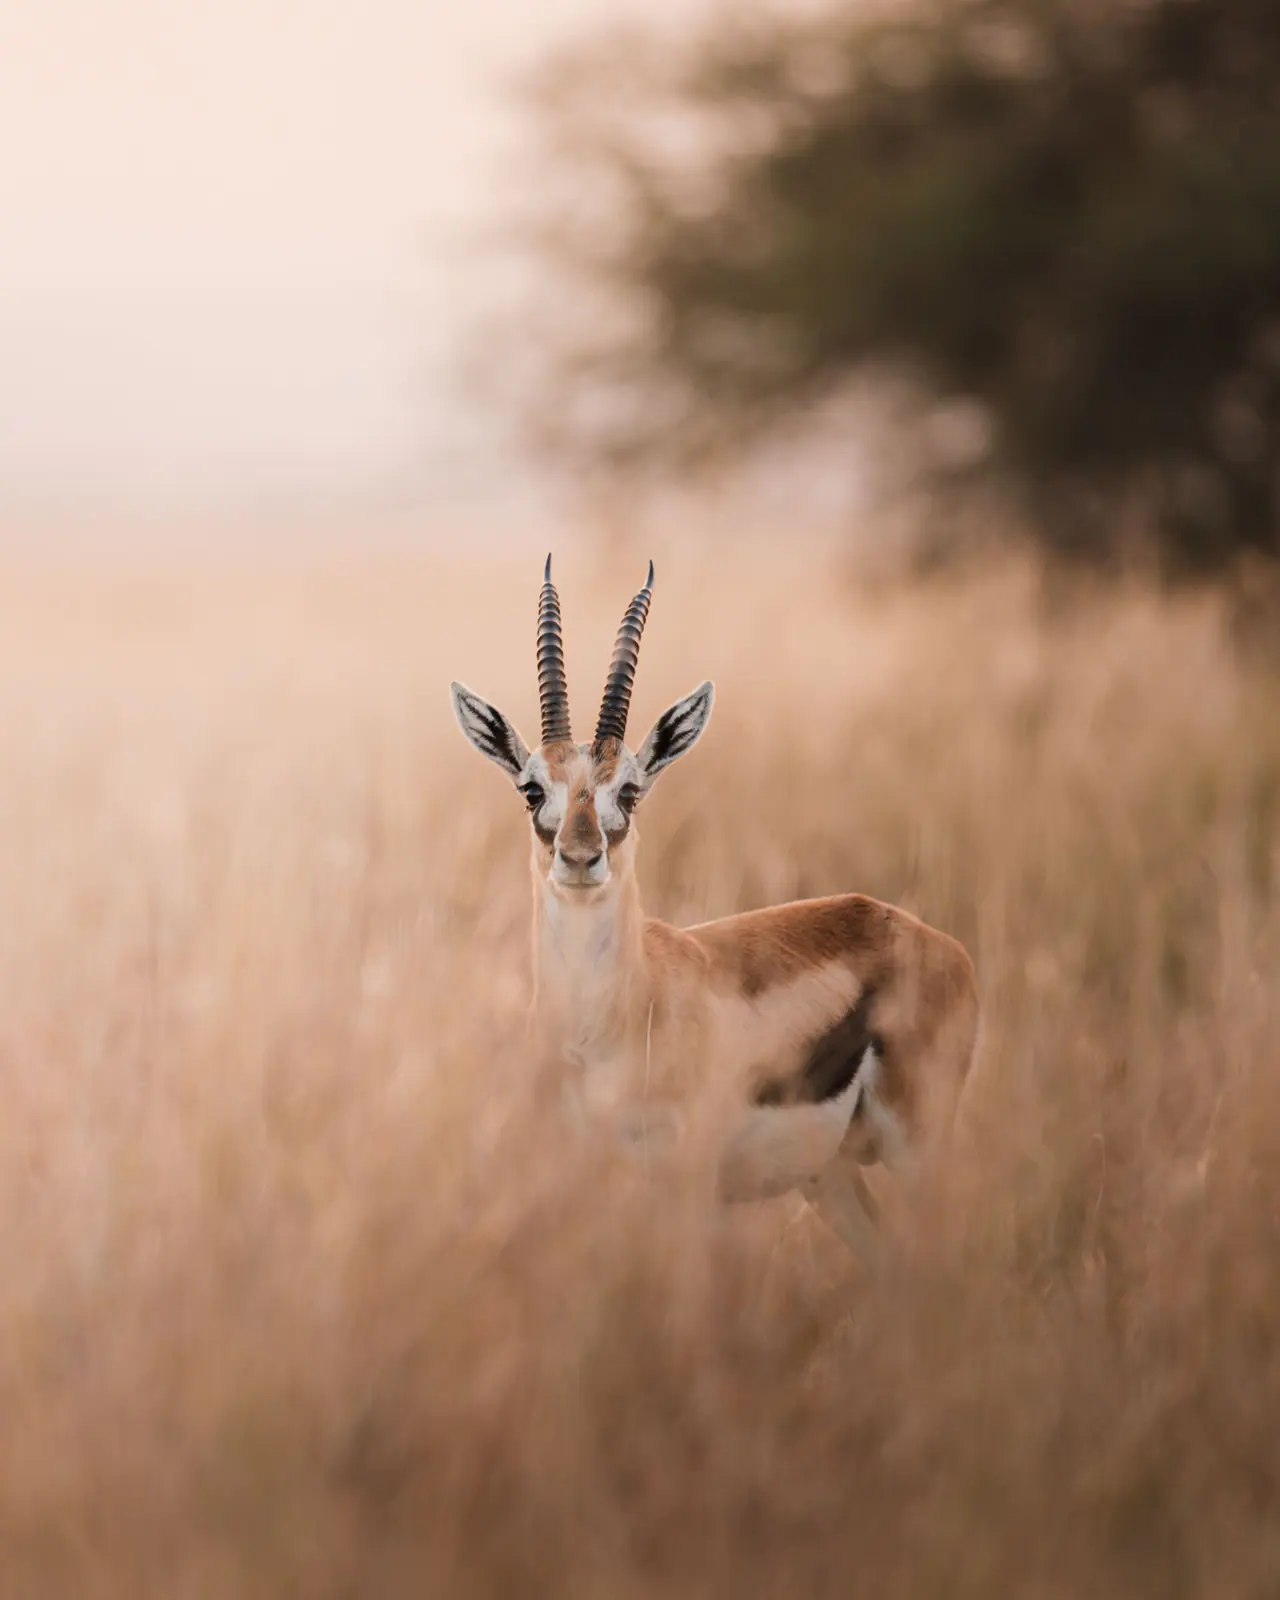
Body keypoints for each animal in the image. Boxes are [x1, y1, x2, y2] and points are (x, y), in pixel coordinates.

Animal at [450, 559, 980, 1258]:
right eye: (533, 789)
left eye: (631, 791)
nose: (581, 857)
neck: (609, 1022)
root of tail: (943, 946)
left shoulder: (688, 1184)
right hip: (831, 1177)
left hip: (918, 1151)